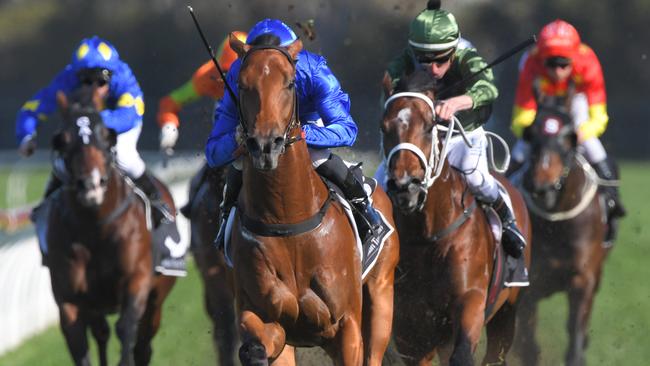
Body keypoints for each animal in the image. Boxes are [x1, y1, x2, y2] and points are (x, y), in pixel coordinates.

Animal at [46, 88, 176, 366]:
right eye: (62, 140)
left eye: (107, 135)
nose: (91, 185)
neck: (95, 229)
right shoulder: (70, 301)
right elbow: (81, 345)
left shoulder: (137, 281)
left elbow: (126, 330)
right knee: (102, 334)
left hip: (156, 298)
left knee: (142, 344)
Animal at [225, 35, 398, 366]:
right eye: (241, 84)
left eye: (290, 82)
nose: (265, 145)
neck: (287, 222)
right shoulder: (267, 319)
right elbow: (256, 345)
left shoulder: (347, 328)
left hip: (381, 295)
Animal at [380, 72, 532, 366]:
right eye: (384, 127)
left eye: (429, 126)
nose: (406, 187)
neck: (428, 236)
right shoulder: (411, 325)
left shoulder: (470, 300)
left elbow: (462, 355)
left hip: (507, 310)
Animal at [512, 101, 608, 364]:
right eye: (530, 133)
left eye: (569, 138)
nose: (541, 185)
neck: (556, 224)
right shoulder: (531, 283)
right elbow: (528, 344)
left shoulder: (583, 279)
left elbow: (575, 338)